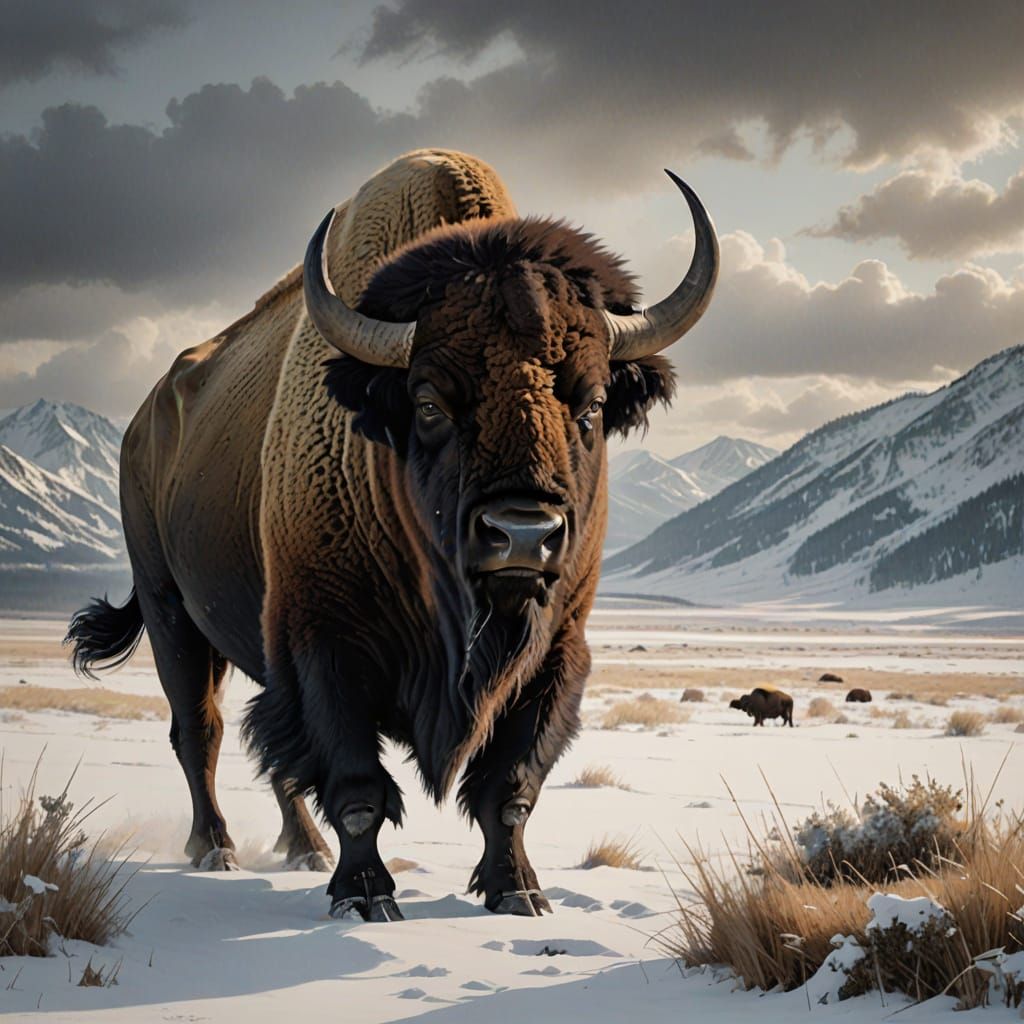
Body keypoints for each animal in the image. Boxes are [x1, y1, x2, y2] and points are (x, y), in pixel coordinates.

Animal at [65, 149, 718, 923]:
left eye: (590, 403)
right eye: (430, 402)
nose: (521, 535)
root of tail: (143, 423)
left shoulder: (556, 654)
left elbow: (510, 787)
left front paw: (519, 892)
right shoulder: (324, 644)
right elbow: (357, 788)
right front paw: (367, 896)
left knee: (270, 755)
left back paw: (303, 850)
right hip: (172, 611)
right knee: (202, 731)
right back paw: (217, 850)